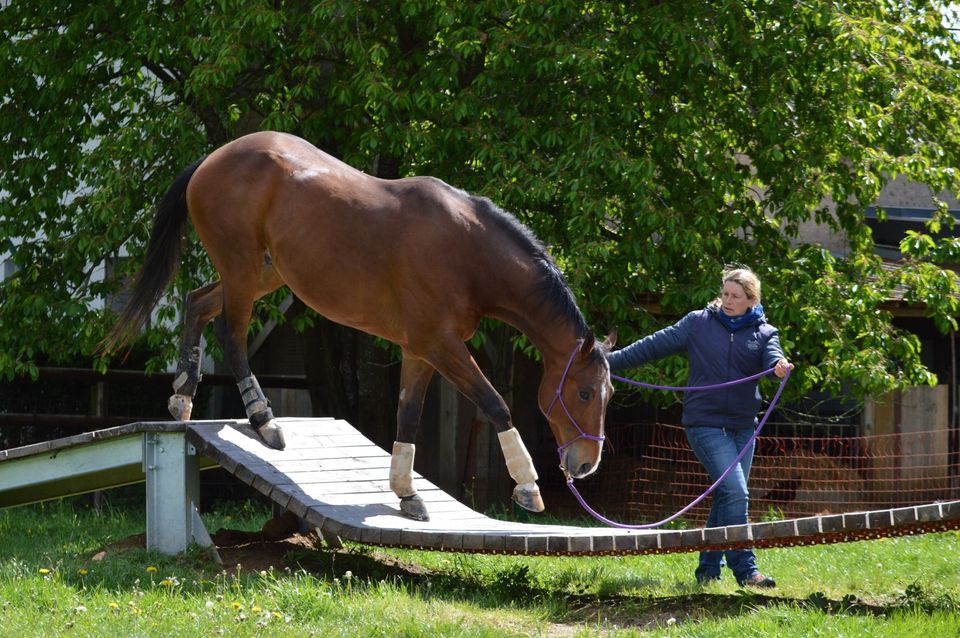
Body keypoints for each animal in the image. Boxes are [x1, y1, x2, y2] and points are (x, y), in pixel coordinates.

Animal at [107, 132, 616, 524]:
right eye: (585, 392)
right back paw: (264, 420)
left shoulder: (421, 350)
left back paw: (182, 396)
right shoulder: (442, 346)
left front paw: (407, 493)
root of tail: (213, 159)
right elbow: (496, 404)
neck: (468, 249)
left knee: (196, 304)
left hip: (265, 272)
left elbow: (408, 415)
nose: (587, 464)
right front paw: (528, 485)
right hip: (243, 271)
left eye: (607, 395)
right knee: (231, 337)